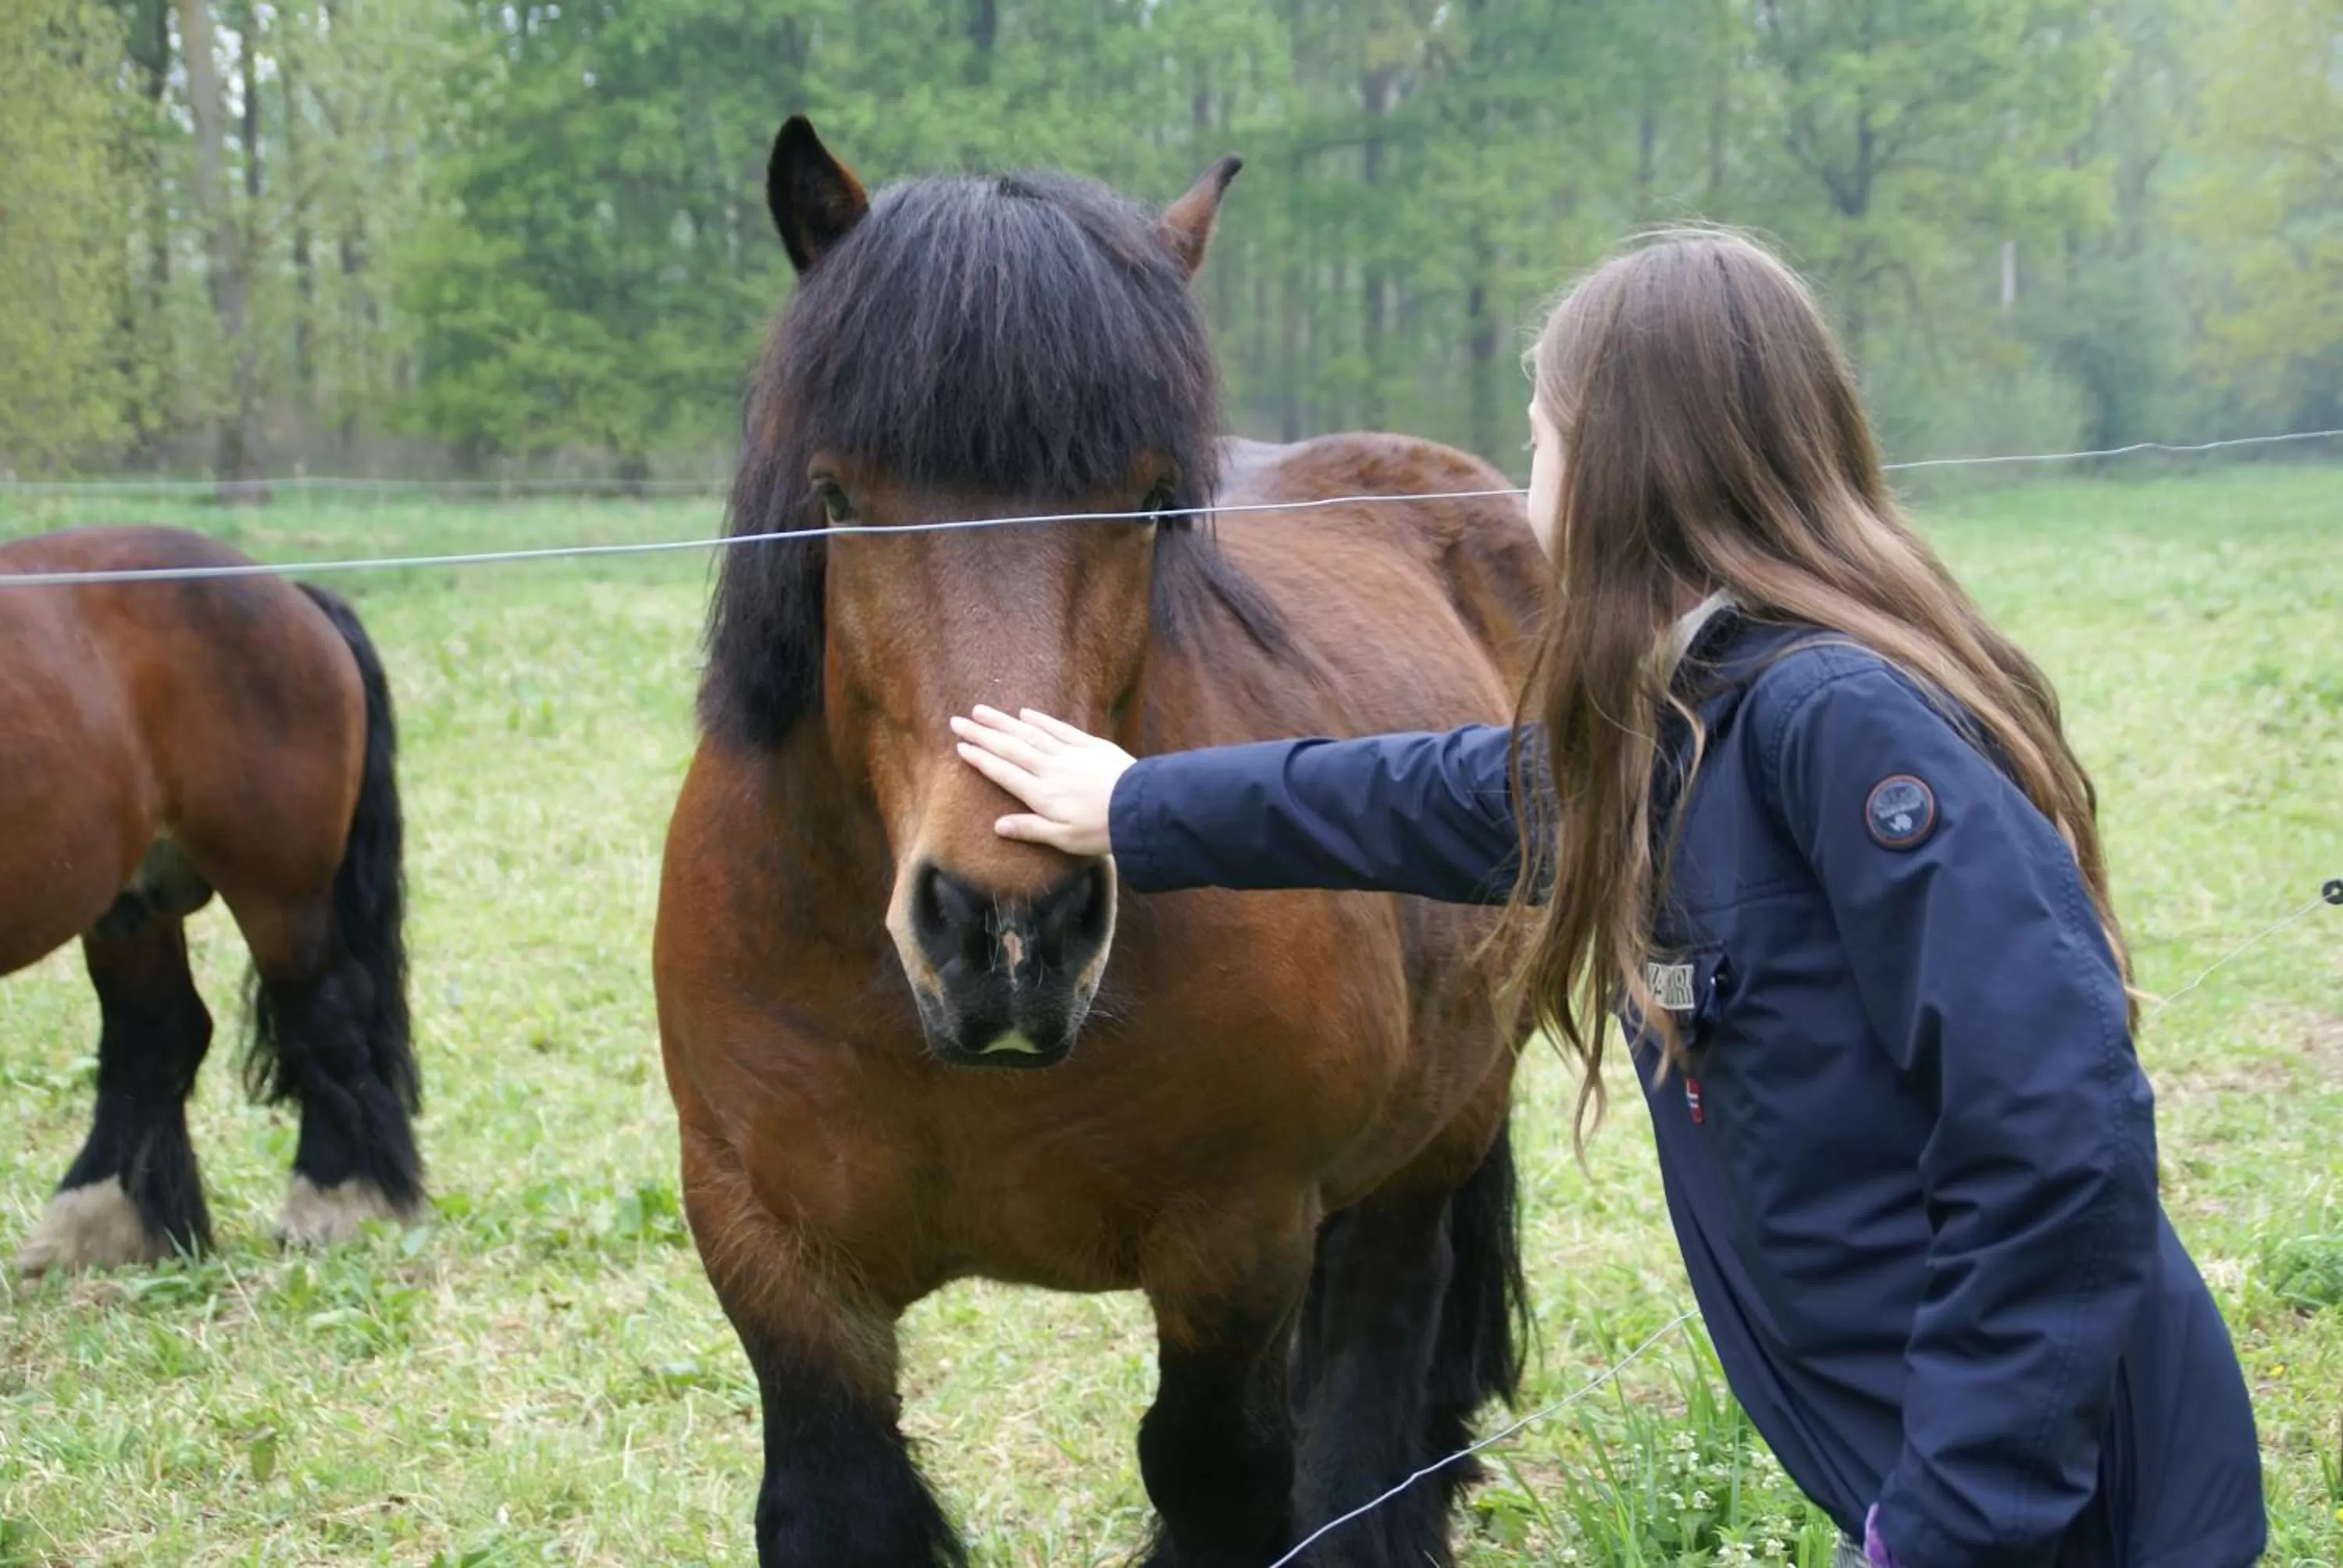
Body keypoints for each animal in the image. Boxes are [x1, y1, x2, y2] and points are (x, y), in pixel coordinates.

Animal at [1, 526, 422, 1273]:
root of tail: (289, 593)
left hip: (279, 893)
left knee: (327, 1009)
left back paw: (334, 1205)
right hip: (131, 908)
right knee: (154, 1035)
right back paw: (97, 1225)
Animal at [654, 118, 1547, 1567]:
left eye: (1149, 499)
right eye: (837, 493)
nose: (1009, 931)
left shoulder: (1236, 1244)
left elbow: (1218, 1472)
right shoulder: (774, 1256)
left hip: (1429, 1146)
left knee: (1374, 1367)